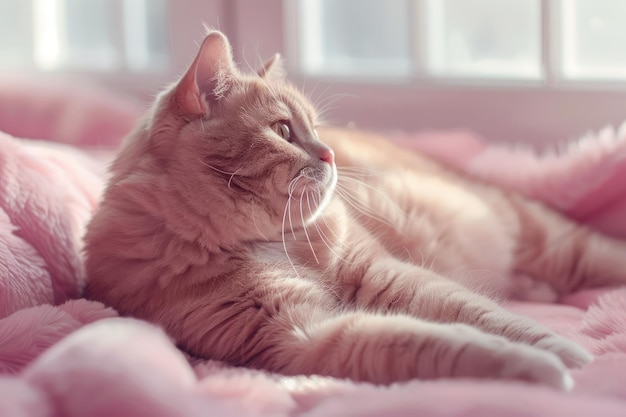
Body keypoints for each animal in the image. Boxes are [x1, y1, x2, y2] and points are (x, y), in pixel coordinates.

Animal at [83, 31, 624, 390]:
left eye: (315, 127)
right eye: (283, 131)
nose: (330, 154)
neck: (270, 243)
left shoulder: (389, 277)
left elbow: (483, 316)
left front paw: (556, 349)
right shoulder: (305, 334)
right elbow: (432, 342)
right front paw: (529, 367)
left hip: (555, 243)